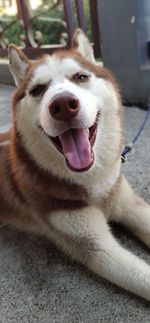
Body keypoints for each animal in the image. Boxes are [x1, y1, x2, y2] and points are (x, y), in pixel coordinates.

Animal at [0, 29, 150, 302]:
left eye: (81, 77)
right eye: (37, 90)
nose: (62, 105)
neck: (93, 183)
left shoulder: (130, 204)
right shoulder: (94, 244)